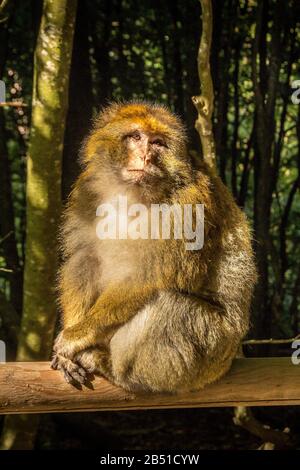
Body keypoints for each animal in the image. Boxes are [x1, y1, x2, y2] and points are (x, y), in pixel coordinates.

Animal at [50, 102, 256, 392]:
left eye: (158, 143)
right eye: (136, 137)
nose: (146, 156)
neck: (132, 194)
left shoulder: (190, 202)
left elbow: (155, 273)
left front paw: (76, 336)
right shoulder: (86, 190)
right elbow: (84, 260)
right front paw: (69, 345)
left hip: (212, 351)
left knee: (169, 305)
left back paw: (111, 367)